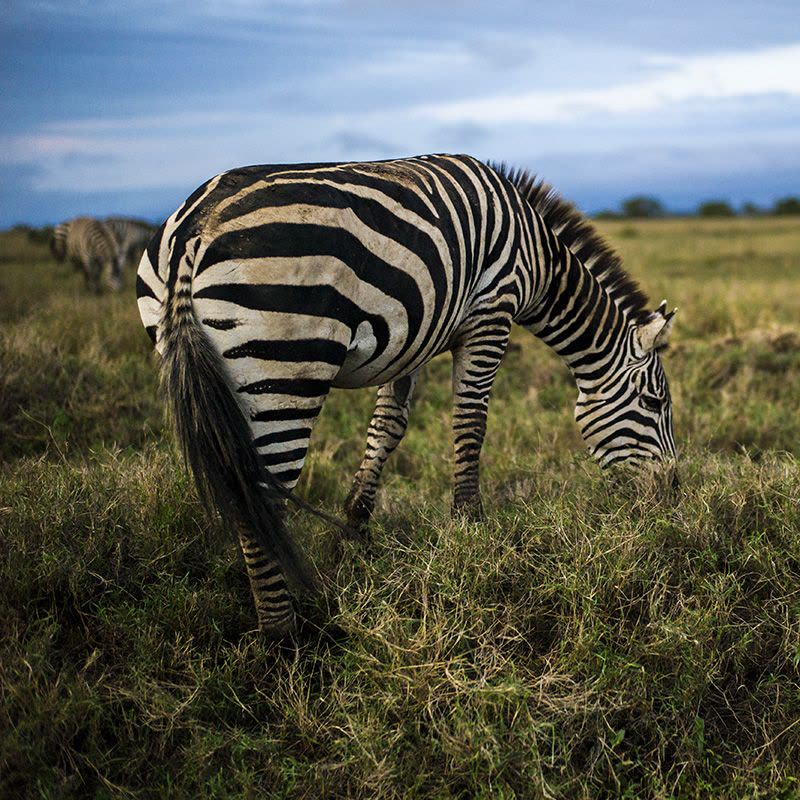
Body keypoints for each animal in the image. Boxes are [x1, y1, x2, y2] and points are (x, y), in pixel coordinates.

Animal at [136, 152, 676, 636]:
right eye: (654, 405)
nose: (670, 499)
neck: (538, 258)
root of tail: (195, 229)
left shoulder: (411, 333)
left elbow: (387, 428)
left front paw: (355, 534)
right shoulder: (490, 315)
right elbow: (470, 423)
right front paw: (470, 529)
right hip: (284, 367)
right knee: (262, 497)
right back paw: (283, 635)